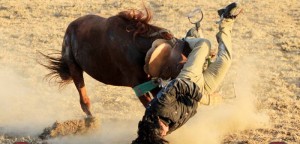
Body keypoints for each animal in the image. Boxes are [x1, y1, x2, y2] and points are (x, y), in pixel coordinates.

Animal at [41, 7, 190, 116]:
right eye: (178, 66)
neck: (137, 45)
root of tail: (69, 29)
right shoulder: (137, 84)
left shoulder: (151, 82)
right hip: (74, 67)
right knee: (83, 99)